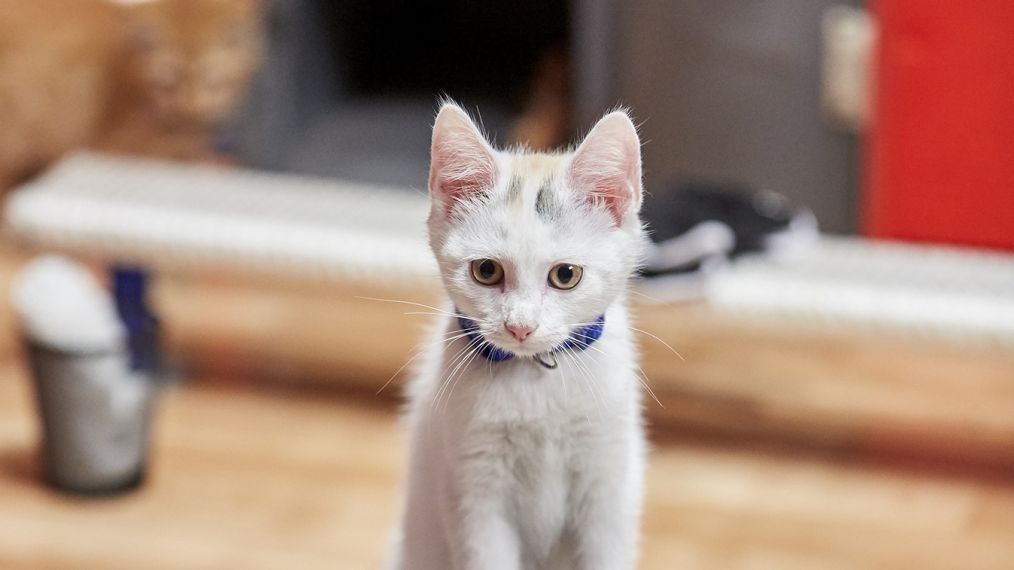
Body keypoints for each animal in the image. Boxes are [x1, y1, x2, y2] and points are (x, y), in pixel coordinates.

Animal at [391, 101, 644, 567]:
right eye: (486, 270)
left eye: (566, 275)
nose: (520, 326)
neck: (534, 375)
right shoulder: (473, 490)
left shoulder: (609, 486)